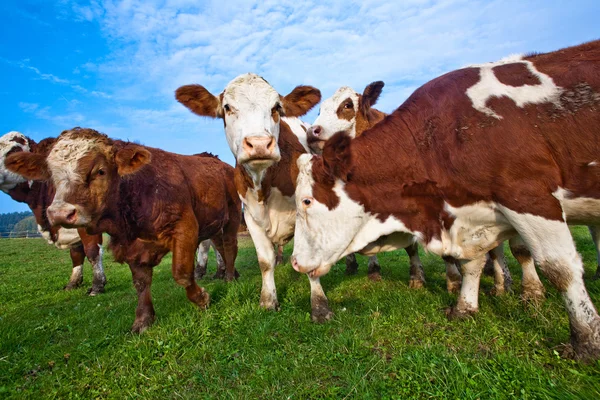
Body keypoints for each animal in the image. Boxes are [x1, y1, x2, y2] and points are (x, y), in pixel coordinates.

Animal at [176, 72, 338, 322]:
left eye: (276, 107)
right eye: (227, 107)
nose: (260, 144)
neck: (265, 184)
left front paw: (320, 307)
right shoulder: (251, 217)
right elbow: (265, 261)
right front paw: (268, 301)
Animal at [290, 42, 600, 360]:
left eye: (347, 106)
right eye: (319, 109)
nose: (295, 262)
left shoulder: (528, 194)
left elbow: (556, 267)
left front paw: (583, 337)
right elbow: (471, 261)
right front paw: (464, 304)